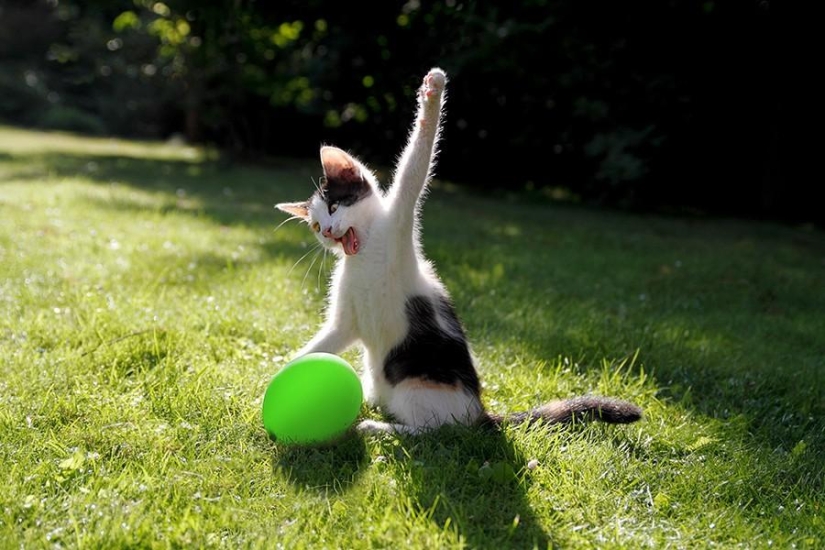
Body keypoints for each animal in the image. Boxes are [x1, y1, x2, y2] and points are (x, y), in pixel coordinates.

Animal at [276, 69, 644, 438]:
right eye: (314, 225)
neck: (364, 254)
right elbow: (319, 345)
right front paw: (275, 381)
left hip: (418, 387)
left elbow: (416, 164)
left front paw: (433, 93)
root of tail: (478, 412)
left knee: (435, 431)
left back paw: (378, 427)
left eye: (334, 207)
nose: (326, 232)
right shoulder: (346, 321)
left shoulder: (399, 220)